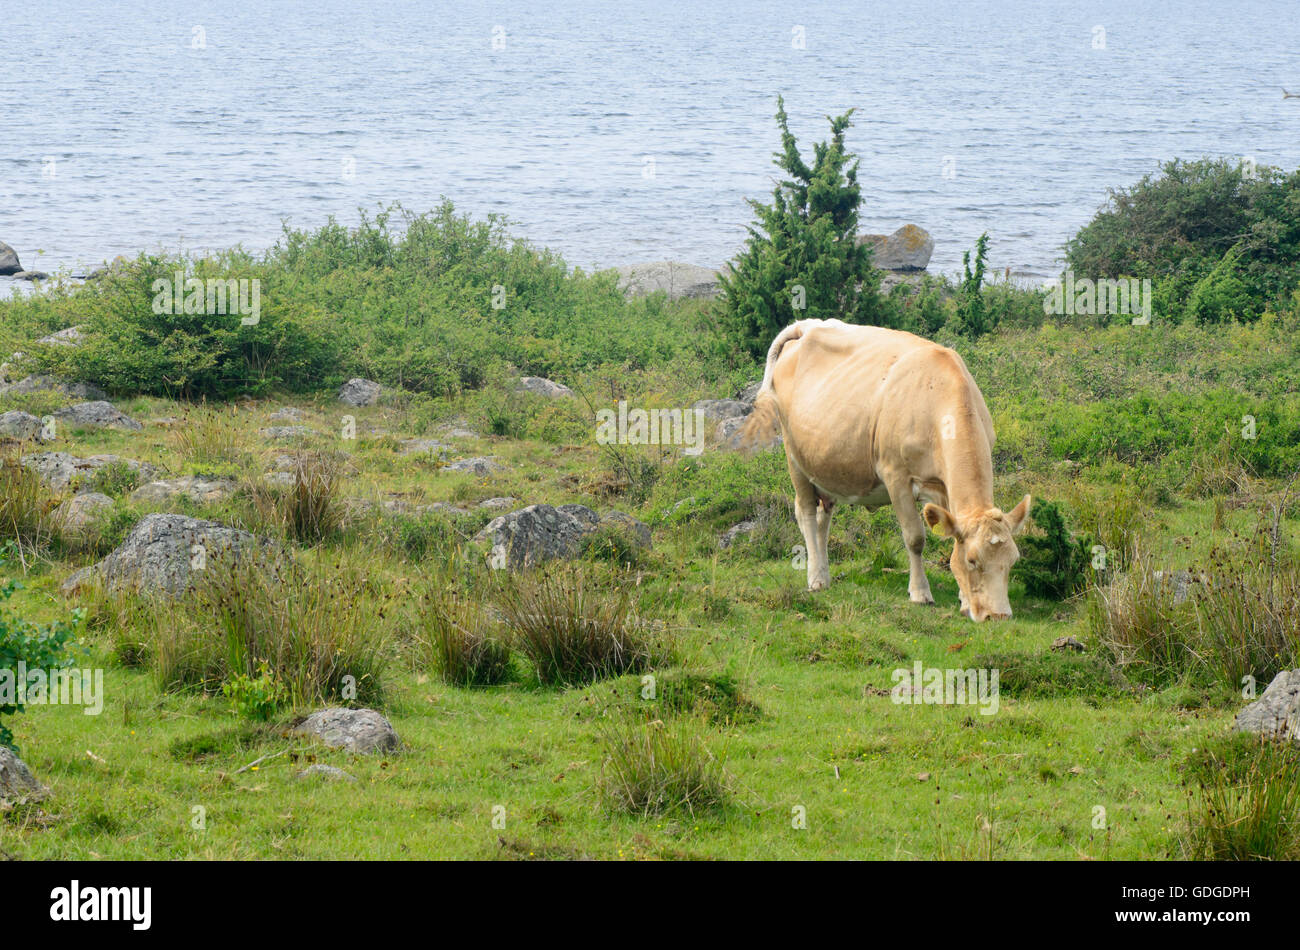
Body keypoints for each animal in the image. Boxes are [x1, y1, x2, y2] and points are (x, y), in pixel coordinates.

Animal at [740, 319, 1031, 621]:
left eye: (1013, 560)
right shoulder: (896, 476)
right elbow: (915, 537)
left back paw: (825, 574)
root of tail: (808, 325)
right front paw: (920, 593)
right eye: (973, 560)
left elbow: (952, 536)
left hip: (826, 466)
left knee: (823, 517)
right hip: (794, 457)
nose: (998, 616)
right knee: (806, 512)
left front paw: (963, 600)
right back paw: (816, 579)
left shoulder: (944, 485)